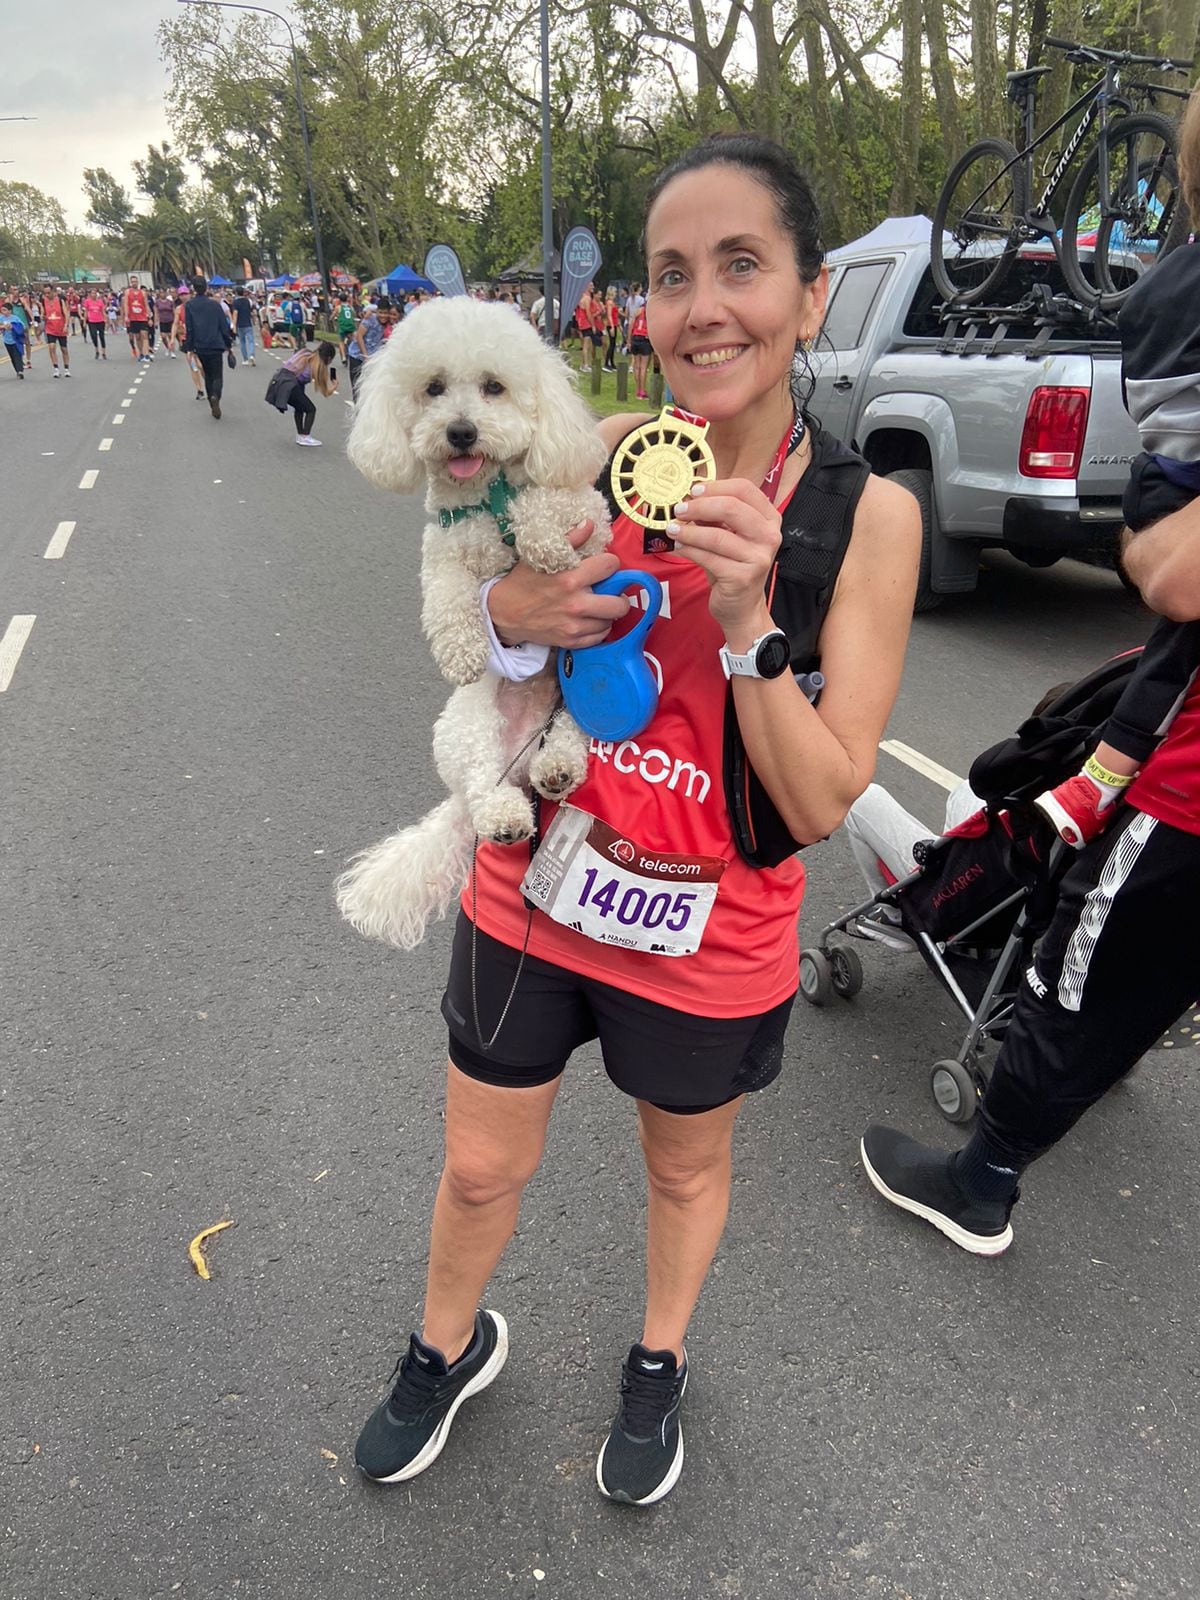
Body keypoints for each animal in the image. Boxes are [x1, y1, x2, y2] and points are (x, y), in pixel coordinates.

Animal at [334, 297, 611, 947]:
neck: (488, 496)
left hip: (571, 702)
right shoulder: (442, 552)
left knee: (565, 743)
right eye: (433, 388)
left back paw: (557, 770)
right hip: (468, 728)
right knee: (486, 786)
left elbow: (545, 505)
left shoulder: (589, 517)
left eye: (494, 387)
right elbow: (448, 596)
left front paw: (543, 543)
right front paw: (460, 649)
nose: (461, 431)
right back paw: (507, 813)